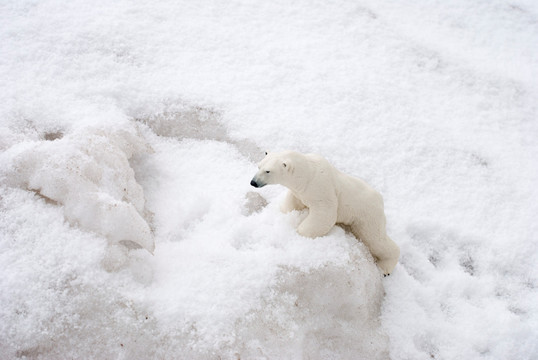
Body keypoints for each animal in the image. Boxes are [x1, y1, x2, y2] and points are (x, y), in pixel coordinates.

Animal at [249, 150, 396, 274]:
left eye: (268, 171)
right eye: (259, 166)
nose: (253, 182)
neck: (306, 175)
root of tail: (380, 199)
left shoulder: (321, 187)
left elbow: (326, 214)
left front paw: (300, 234)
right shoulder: (300, 192)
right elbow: (291, 203)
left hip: (366, 214)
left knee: (375, 238)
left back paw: (385, 267)